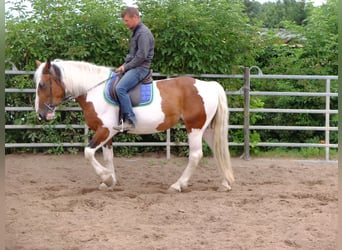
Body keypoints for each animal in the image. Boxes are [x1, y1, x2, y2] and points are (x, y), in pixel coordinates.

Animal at [34, 59, 235, 192]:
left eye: (42, 84)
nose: (41, 114)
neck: (94, 90)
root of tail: (210, 85)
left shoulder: (104, 130)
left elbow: (88, 153)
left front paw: (106, 177)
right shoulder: (107, 135)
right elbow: (108, 158)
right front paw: (110, 181)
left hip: (194, 128)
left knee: (195, 155)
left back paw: (178, 185)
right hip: (206, 129)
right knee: (217, 150)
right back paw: (225, 183)